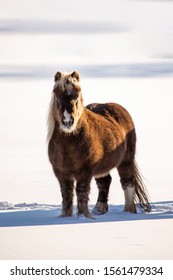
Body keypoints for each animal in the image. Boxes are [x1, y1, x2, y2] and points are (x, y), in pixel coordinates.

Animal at [47, 70, 150, 219]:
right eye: (57, 95)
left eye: (76, 95)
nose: (67, 121)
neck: (69, 143)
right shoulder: (61, 172)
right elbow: (66, 195)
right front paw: (65, 216)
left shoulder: (85, 171)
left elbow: (81, 192)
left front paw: (83, 216)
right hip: (102, 166)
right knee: (105, 182)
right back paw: (99, 209)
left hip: (126, 161)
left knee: (127, 183)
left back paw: (128, 211)